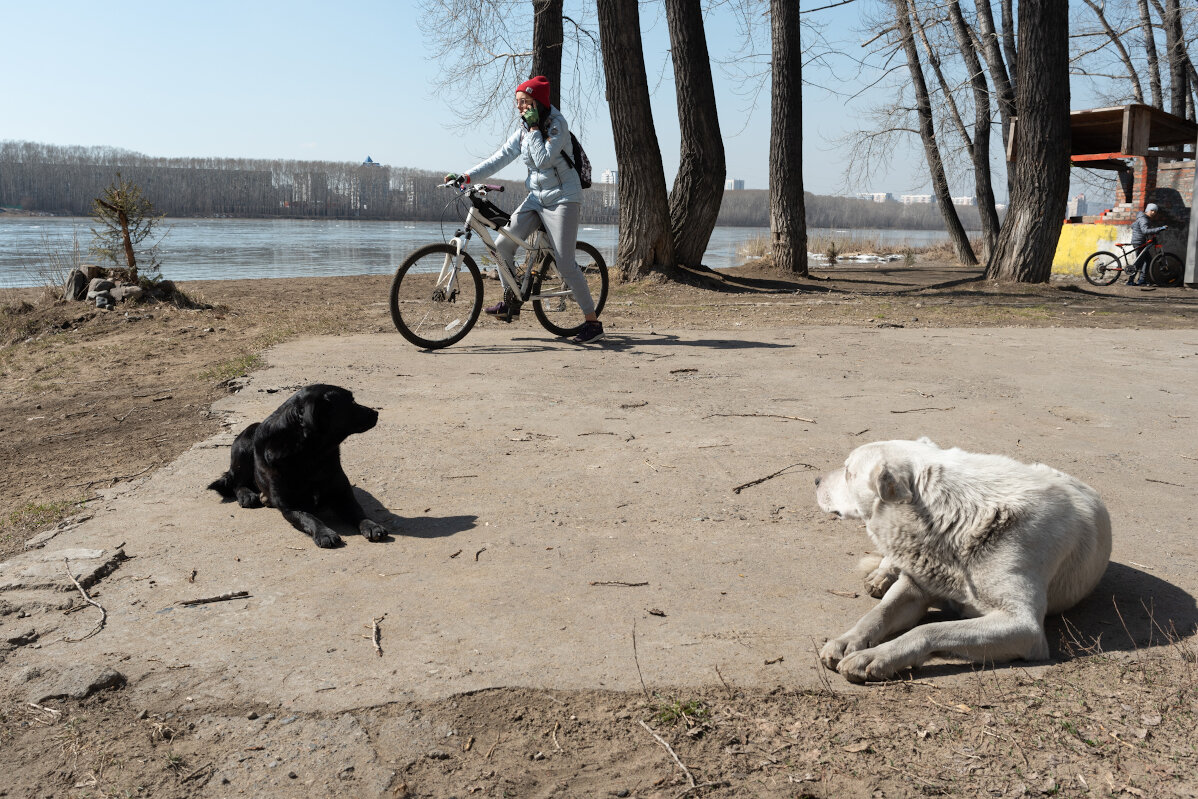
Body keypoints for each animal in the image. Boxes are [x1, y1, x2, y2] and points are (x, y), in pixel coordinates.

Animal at [209, 383, 388, 546]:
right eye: (351, 402)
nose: (376, 412)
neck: (311, 453)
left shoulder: (342, 494)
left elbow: (358, 512)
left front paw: (371, 525)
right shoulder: (290, 506)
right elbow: (309, 517)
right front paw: (324, 532)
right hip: (245, 443)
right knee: (236, 482)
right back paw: (247, 495)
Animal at [814, 440, 1111, 685]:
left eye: (847, 471)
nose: (815, 480)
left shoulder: (1024, 627)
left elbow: (928, 629)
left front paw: (877, 656)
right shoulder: (915, 588)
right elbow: (877, 614)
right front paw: (847, 641)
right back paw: (882, 574)